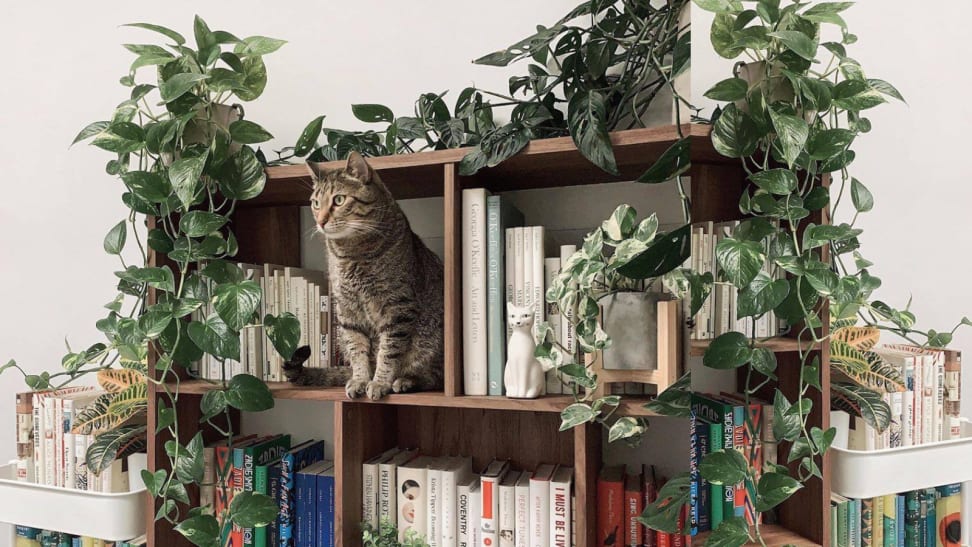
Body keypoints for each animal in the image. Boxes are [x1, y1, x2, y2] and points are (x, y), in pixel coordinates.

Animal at [282, 152, 446, 400]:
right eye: (316, 203)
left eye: (339, 200)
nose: (320, 221)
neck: (351, 252)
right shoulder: (348, 311)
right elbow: (358, 351)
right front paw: (360, 379)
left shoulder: (397, 308)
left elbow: (388, 352)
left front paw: (379, 382)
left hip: (432, 341)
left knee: (434, 377)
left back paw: (407, 380)